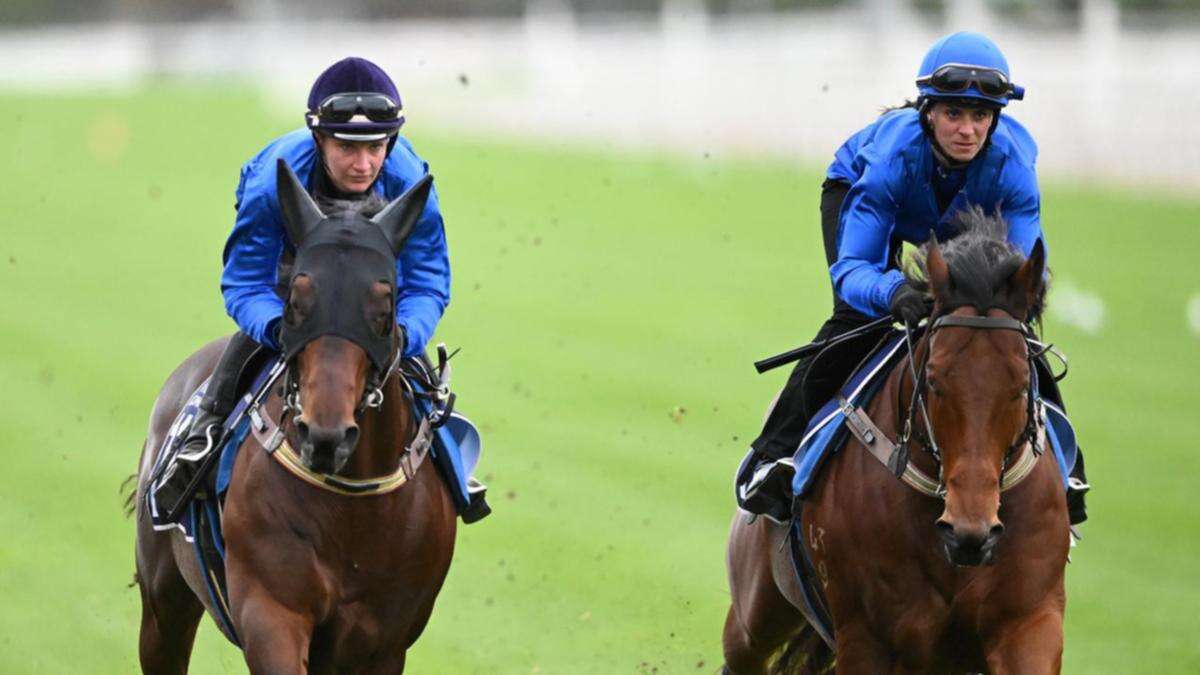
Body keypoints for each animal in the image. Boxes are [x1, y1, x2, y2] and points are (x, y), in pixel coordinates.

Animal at [126, 163, 453, 672]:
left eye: (384, 308)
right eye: (296, 302)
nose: (326, 436)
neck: (354, 510)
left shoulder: (383, 640)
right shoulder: (271, 612)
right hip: (164, 606)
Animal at [724, 211, 1075, 672]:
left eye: (1019, 385)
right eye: (934, 380)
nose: (970, 532)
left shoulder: (1029, 619)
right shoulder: (868, 635)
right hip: (755, 612)